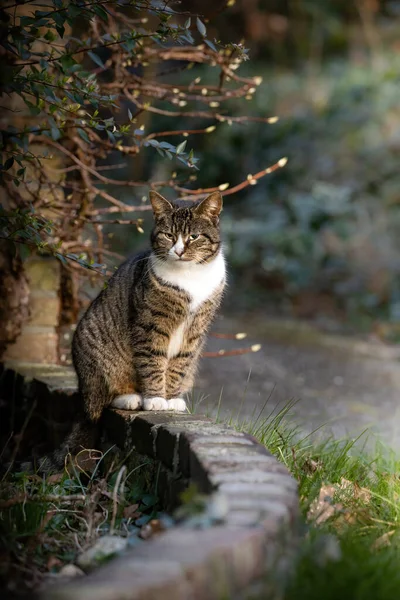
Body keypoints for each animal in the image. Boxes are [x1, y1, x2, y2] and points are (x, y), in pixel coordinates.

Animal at [41, 190, 227, 472]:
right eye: (169, 235)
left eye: (194, 236)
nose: (179, 250)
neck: (190, 276)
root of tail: (83, 389)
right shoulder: (150, 325)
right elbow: (153, 363)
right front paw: (155, 399)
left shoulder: (195, 331)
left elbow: (178, 365)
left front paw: (171, 398)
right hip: (100, 358)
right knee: (103, 400)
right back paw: (132, 398)